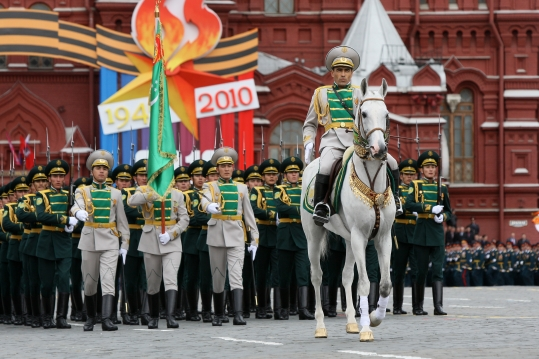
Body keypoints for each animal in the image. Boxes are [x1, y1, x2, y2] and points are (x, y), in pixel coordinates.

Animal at [302, 78, 394, 344]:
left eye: (386, 114)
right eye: (363, 113)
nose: (379, 149)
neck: (372, 186)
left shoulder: (382, 237)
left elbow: (384, 284)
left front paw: (373, 318)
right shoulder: (360, 237)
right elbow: (364, 283)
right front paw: (366, 329)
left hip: (348, 239)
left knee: (345, 276)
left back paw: (352, 322)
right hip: (314, 236)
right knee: (317, 276)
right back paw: (320, 327)